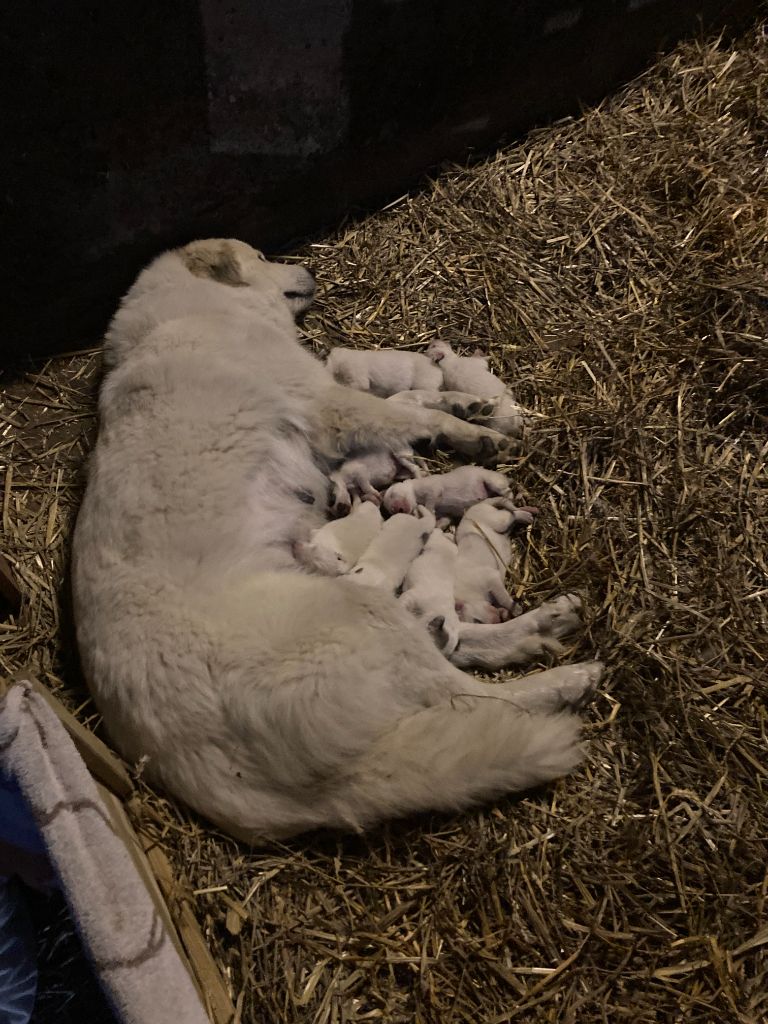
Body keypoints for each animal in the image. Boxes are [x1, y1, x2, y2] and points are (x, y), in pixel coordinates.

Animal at [382, 468, 512, 524]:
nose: (397, 510)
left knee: (507, 490)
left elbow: (430, 501)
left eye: (392, 493)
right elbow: (444, 520)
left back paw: (510, 497)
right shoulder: (445, 514)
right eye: (391, 511)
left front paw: (428, 512)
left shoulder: (433, 489)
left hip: (492, 481)